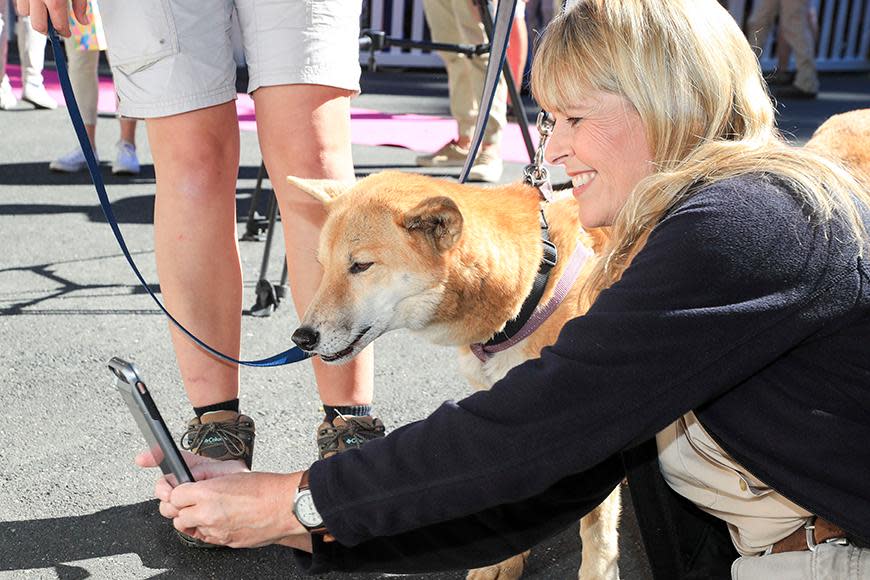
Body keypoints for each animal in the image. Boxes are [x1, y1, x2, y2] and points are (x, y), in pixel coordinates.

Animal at [290, 170, 624, 580]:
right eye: (323, 265)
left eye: (361, 266)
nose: (301, 338)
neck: (531, 285)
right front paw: (504, 561)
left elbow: (596, 532)